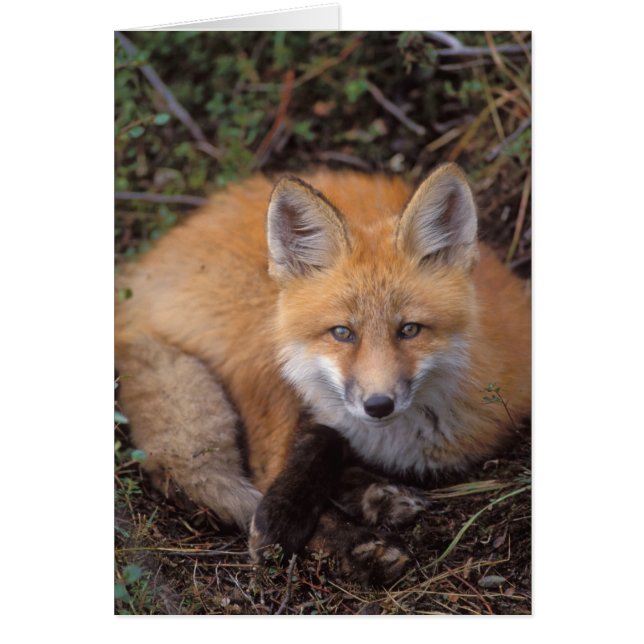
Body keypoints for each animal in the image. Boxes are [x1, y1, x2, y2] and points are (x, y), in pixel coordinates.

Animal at [115, 163, 531, 584]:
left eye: (410, 330)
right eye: (342, 333)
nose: (378, 405)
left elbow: (329, 441)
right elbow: (313, 446)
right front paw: (294, 525)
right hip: (265, 345)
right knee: (264, 469)